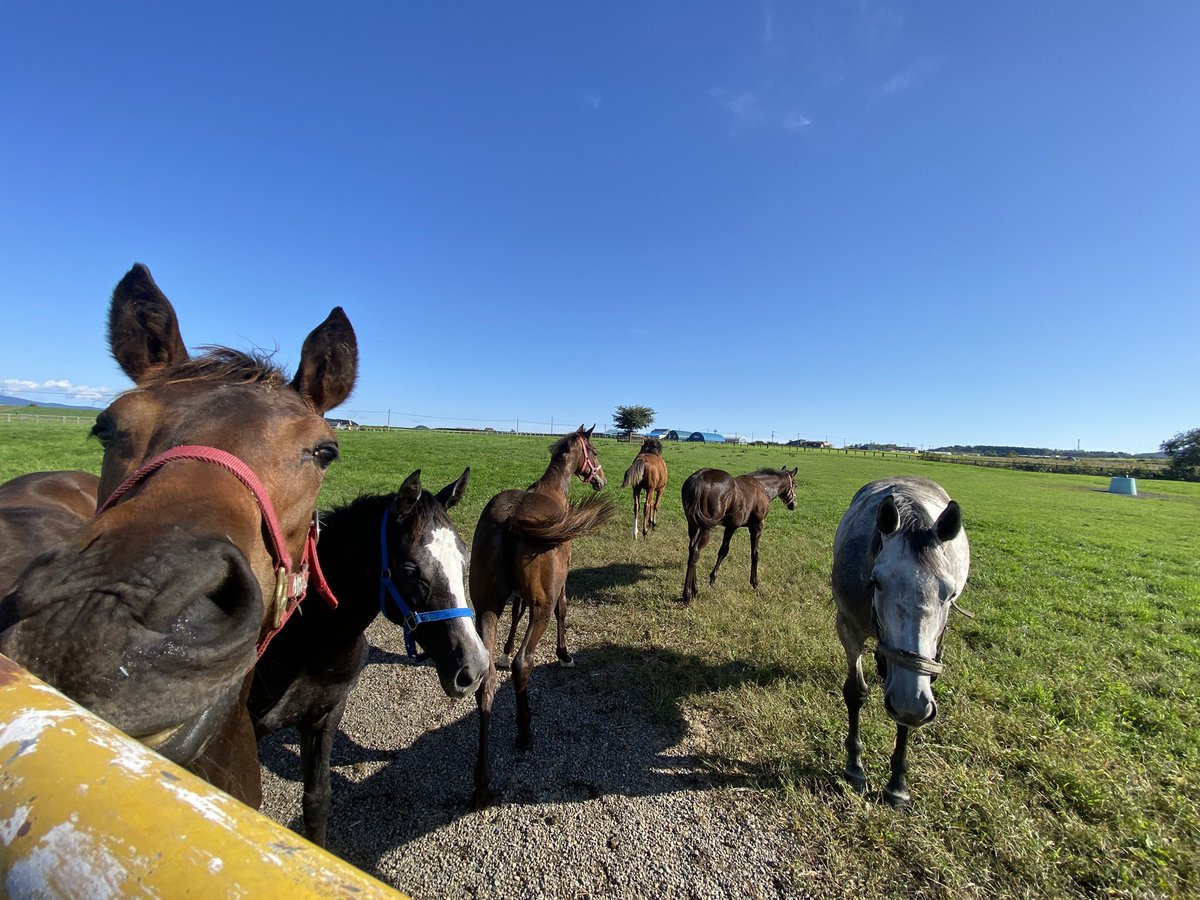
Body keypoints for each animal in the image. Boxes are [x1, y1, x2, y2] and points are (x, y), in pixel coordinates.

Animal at [249, 468, 489, 846]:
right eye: (410, 570)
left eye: (464, 559)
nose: (475, 669)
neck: (308, 638)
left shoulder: (325, 715)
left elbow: (317, 801)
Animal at [470, 425, 615, 807]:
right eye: (594, 450)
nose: (601, 479)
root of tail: (511, 519)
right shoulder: (560, 584)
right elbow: (564, 610)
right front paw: (564, 655)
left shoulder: (514, 599)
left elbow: (515, 613)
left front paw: (504, 648)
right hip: (542, 609)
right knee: (525, 663)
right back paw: (524, 730)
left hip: (486, 607)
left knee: (487, 680)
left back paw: (482, 783)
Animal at [680, 466, 798, 603]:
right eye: (795, 485)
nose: (794, 505)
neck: (762, 487)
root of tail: (698, 477)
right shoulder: (756, 526)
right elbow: (754, 553)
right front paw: (755, 583)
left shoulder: (731, 527)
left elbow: (723, 551)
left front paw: (712, 579)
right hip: (706, 529)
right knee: (696, 551)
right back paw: (688, 594)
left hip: (693, 525)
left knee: (692, 550)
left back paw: (694, 589)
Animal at [831, 476, 971, 808]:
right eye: (878, 582)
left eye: (948, 593)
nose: (909, 700)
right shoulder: (848, 627)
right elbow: (855, 693)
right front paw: (854, 768)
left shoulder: (917, 674)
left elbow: (907, 717)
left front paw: (897, 785)